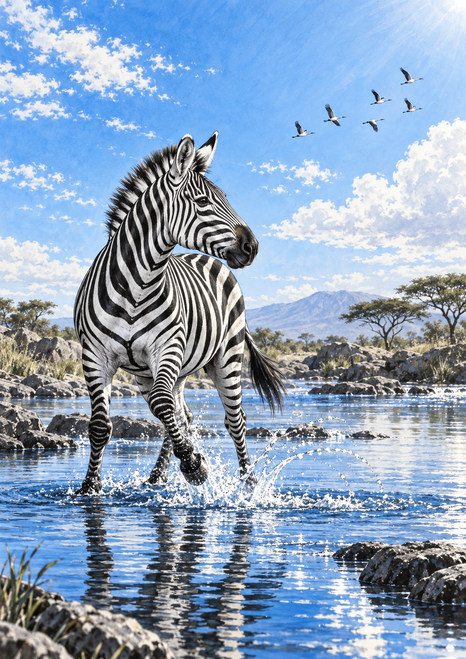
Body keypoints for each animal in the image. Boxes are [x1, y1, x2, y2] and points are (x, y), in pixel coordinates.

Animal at [74, 131, 285, 494]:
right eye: (202, 202)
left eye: (225, 198)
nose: (252, 247)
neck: (138, 284)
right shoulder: (95, 355)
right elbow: (101, 426)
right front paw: (89, 487)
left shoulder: (167, 346)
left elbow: (162, 406)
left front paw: (194, 465)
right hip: (163, 370)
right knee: (178, 412)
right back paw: (157, 475)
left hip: (226, 355)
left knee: (234, 420)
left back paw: (248, 483)